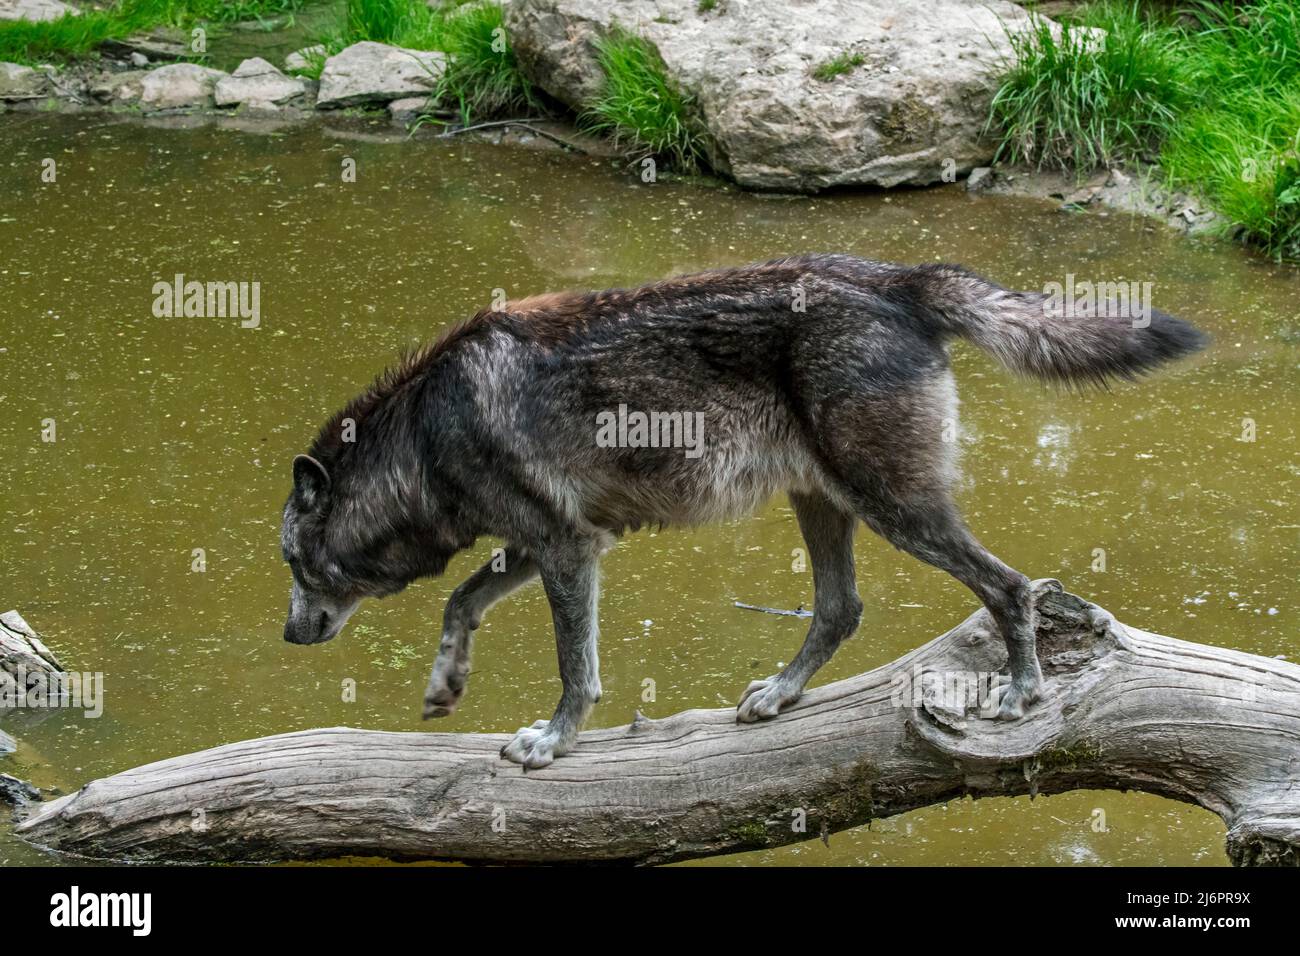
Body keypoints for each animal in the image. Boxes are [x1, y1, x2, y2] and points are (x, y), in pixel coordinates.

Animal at [279, 254, 1201, 770]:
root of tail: (899, 281)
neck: (424, 433)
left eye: (291, 561)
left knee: (1009, 587)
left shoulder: (568, 548)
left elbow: (576, 669)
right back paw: (781, 696)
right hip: (825, 504)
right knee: (841, 607)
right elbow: (459, 600)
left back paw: (1021, 690)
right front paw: (445, 684)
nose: (288, 635)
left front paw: (555, 742)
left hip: (896, 508)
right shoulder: (557, 542)